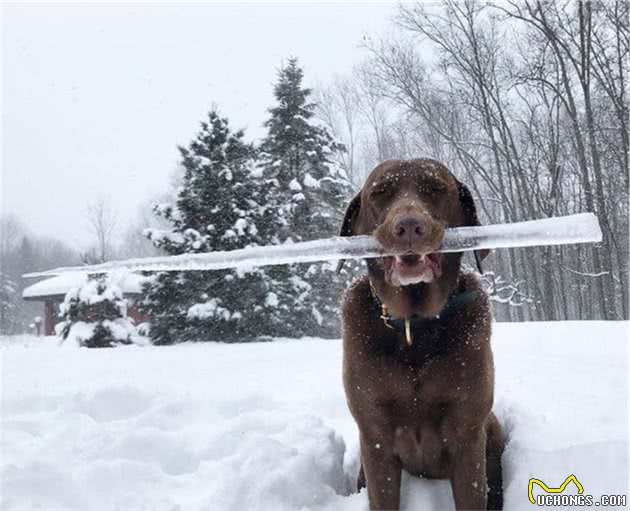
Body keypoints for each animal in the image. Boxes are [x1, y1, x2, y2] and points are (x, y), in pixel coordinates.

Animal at [338, 160, 506, 511]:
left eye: (436, 188)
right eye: (379, 192)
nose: (409, 227)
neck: (414, 326)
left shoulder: (467, 431)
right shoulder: (374, 434)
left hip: (493, 428)